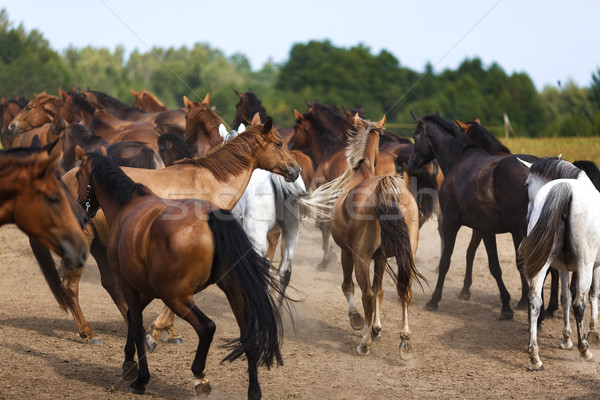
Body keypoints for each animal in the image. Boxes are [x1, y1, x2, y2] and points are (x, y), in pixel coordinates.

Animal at [75, 149, 286, 396]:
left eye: (78, 175)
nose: (81, 205)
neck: (128, 205)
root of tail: (211, 218)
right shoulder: (146, 289)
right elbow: (133, 320)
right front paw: (129, 363)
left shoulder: (129, 285)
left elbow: (136, 326)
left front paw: (140, 377)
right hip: (234, 294)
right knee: (249, 336)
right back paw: (253, 391)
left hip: (176, 297)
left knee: (207, 327)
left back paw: (200, 376)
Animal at [310, 115, 422, 356]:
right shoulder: (381, 258)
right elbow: (380, 290)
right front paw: (377, 328)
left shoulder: (347, 253)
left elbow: (349, 286)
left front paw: (357, 320)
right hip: (406, 256)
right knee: (404, 289)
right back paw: (404, 338)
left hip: (360, 259)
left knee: (367, 294)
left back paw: (364, 343)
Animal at [408, 111, 536, 318]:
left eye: (415, 135)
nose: (410, 164)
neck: (459, 160)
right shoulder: (484, 229)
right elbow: (488, 263)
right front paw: (506, 303)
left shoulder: (452, 223)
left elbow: (446, 261)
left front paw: (434, 300)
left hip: (520, 231)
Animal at [516, 158, 600, 370]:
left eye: (526, 184)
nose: (527, 217)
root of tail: (566, 188)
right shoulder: (594, 266)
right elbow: (593, 294)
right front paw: (594, 331)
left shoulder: (563, 268)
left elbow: (565, 298)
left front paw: (566, 339)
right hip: (585, 264)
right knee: (580, 303)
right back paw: (584, 349)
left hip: (547, 263)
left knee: (535, 300)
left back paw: (535, 357)